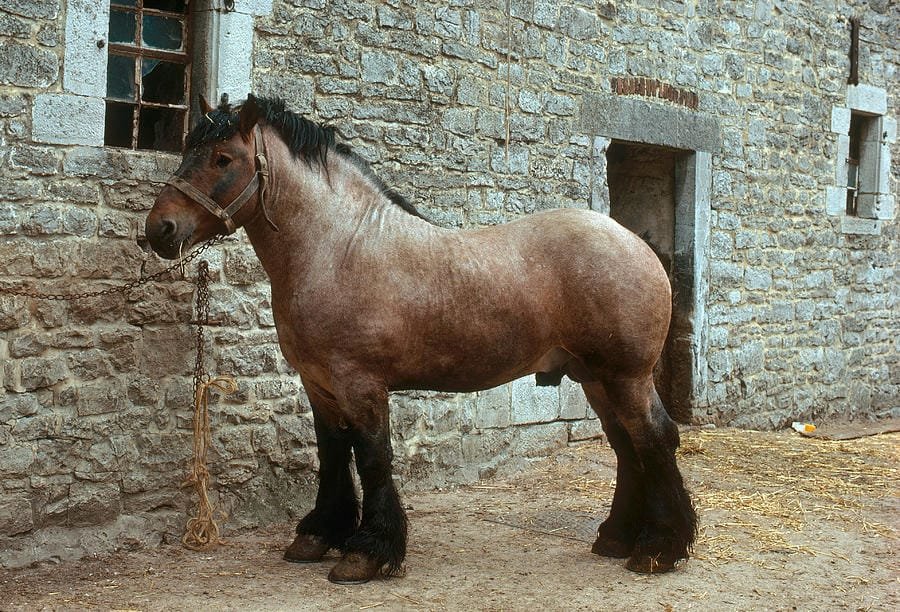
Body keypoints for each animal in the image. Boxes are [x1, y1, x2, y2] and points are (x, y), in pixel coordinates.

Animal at [145, 94, 697, 584]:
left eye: (223, 159)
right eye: (187, 151)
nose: (159, 229)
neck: (338, 247)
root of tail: (635, 244)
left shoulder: (360, 383)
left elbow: (372, 458)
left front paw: (367, 554)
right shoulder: (319, 384)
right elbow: (332, 455)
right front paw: (320, 535)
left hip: (625, 376)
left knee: (654, 439)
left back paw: (659, 549)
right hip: (594, 377)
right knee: (627, 445)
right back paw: (616, 538)